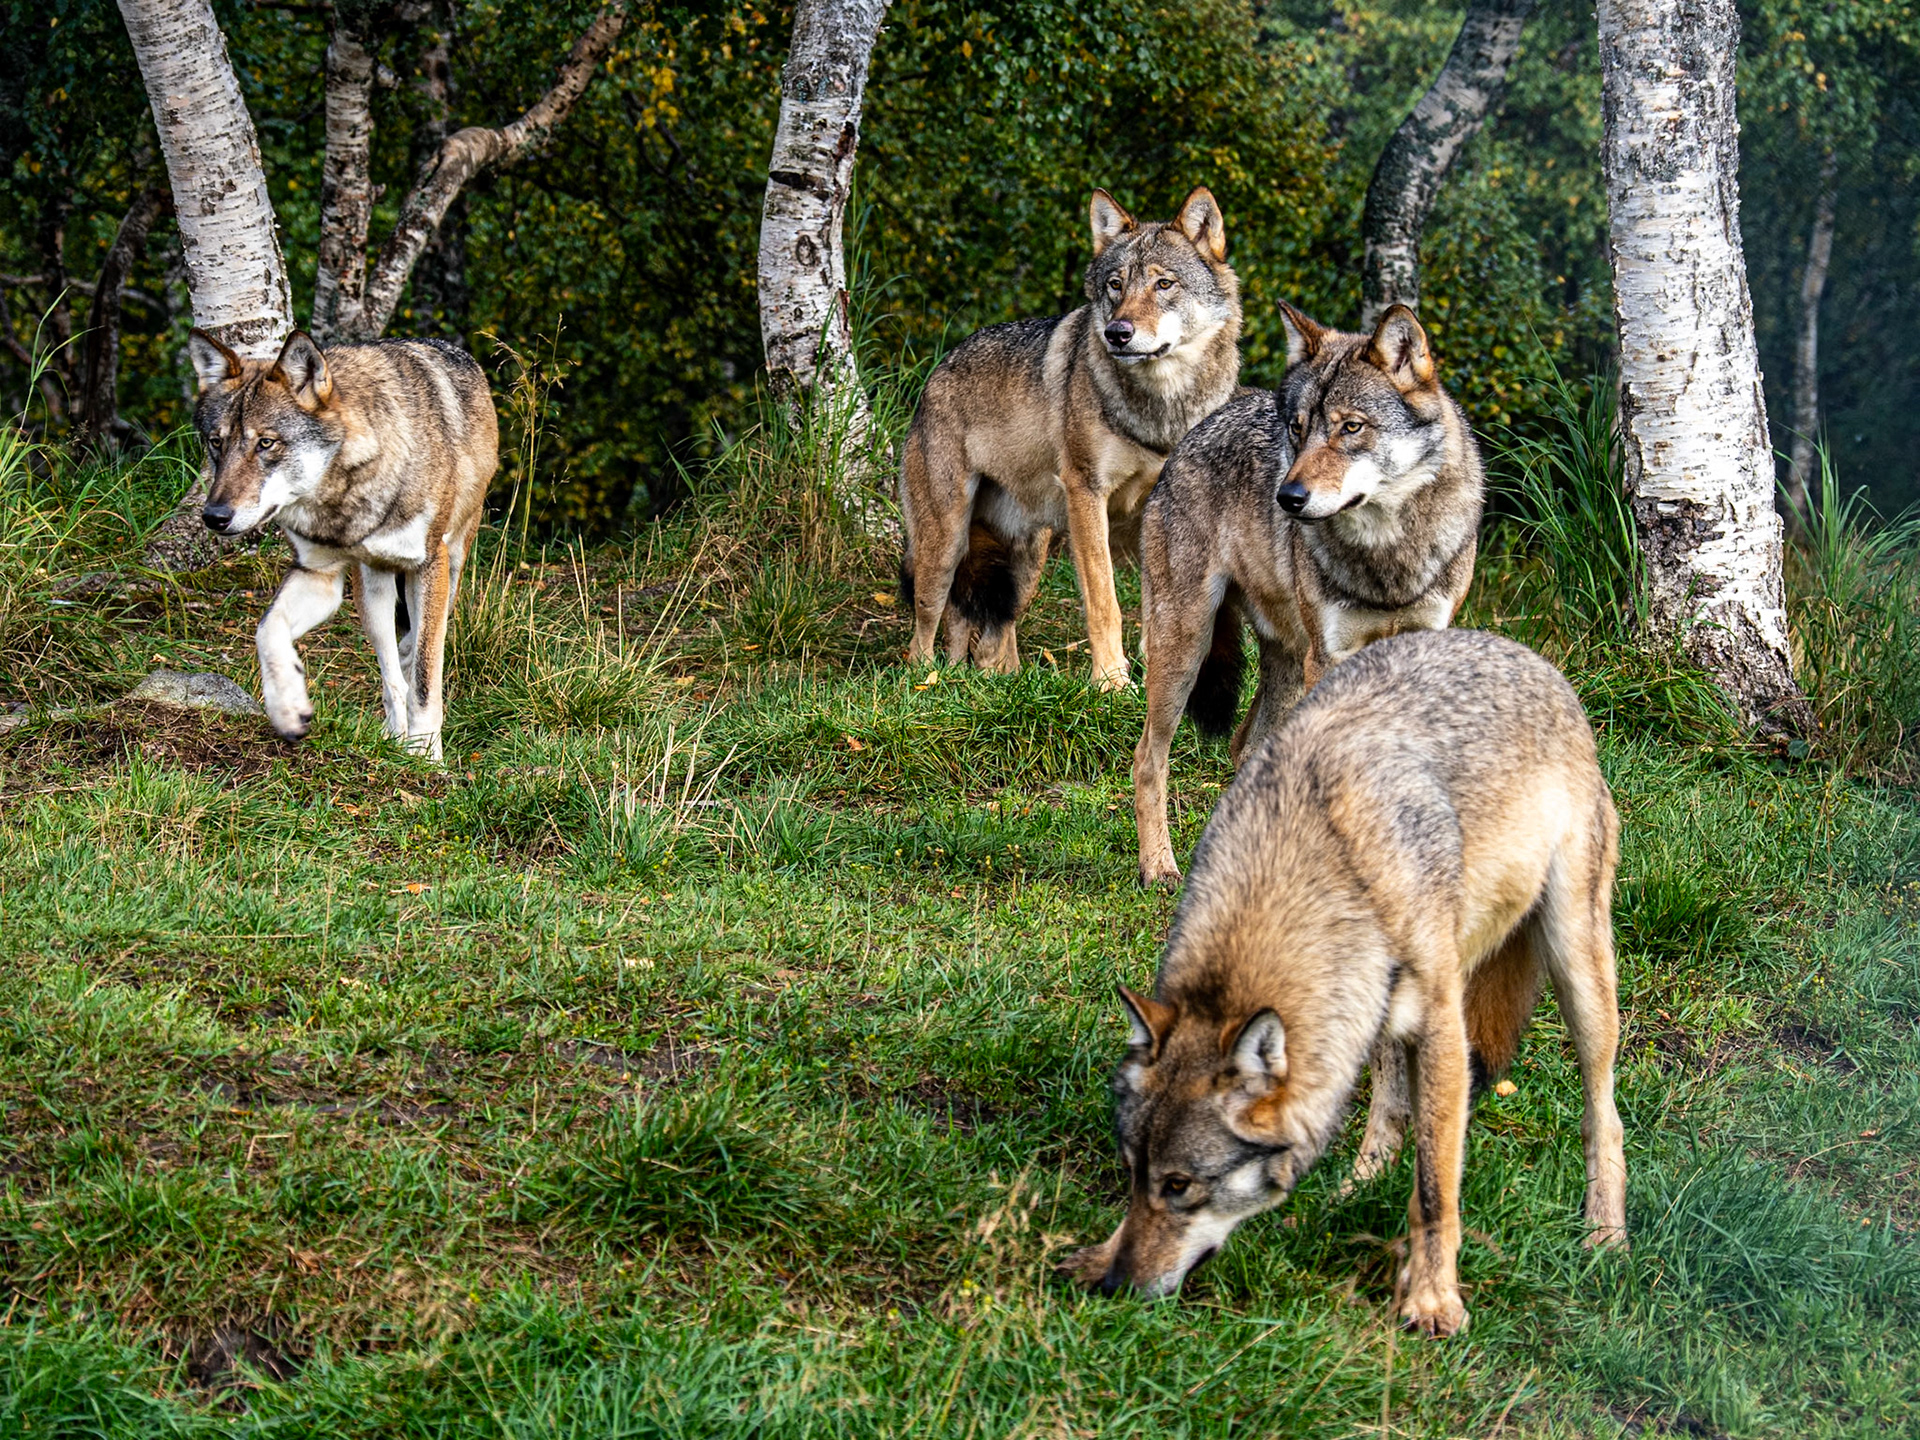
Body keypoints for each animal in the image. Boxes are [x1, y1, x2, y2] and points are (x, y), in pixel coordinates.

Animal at [188, 329, 498, 762]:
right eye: (216, 443)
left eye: (266, 443)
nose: (214, 516)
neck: (341, 496)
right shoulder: (320, 573)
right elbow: (267, 629)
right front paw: (287, 708)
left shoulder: (427, 565)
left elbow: (425, 678)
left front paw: (426, 755)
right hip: (371, 589)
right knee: (390, 676)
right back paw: (392, 739)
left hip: (450, 568)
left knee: (413, 652)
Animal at [899, 188, 1241, 689]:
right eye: (1115, 285)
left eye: (1164, 284)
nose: (1117, 333)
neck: (1162, 406)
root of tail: (935, 373)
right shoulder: (1086, 492)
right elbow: (1105, 602)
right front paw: (1112, 682)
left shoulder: (1158, 507)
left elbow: (1155, 606)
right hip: (944, 543)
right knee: (926, 625)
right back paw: (928, 680)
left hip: (1025, 564)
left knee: (986, 636)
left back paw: (993, 682)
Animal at [1065, 630, 1625, 1337]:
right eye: (1134, 1176)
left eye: (1180, 1186)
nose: (1119, 1286)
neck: (1307, 865)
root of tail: (1524, 653)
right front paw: (1098, 1252)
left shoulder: (1444, 1024)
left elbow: (1436, 1187)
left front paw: (1433, 1301)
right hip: (1379, 1016)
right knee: (1389, 1108)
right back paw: (1355, 1190)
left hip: (1576, 964)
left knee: (1604, 1112)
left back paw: (1605, 1236)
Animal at [1132, 302, 1483, 885]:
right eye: (1297, 429)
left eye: (1350, 427)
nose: (1288, 498)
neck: (1388, 556)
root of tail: (1191, 435)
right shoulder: (1332, 658)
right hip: (1186, 648)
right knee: (1148, 759)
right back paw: (1159, 867)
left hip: (1287, 666)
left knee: (1244, 748)